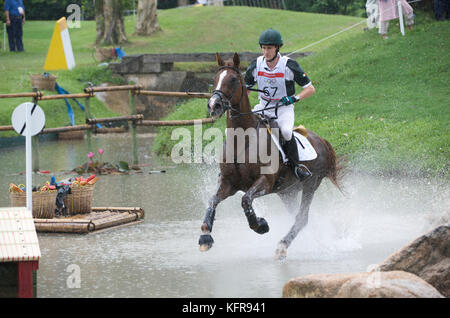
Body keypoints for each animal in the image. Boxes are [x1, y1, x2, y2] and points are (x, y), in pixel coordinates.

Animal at [199, 52, 342, 260]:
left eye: (233, 79)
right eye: (215, 78)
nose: (213, 105)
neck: (242, 139)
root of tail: (321, 141)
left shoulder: (264, 182)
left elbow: (246, 200)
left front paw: (260, 225)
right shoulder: (228, 182)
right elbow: (212, 201)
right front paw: (205, 237)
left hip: (310, 184)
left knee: (302, 217)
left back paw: (282, 245)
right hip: (287, 191)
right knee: (302, 217)